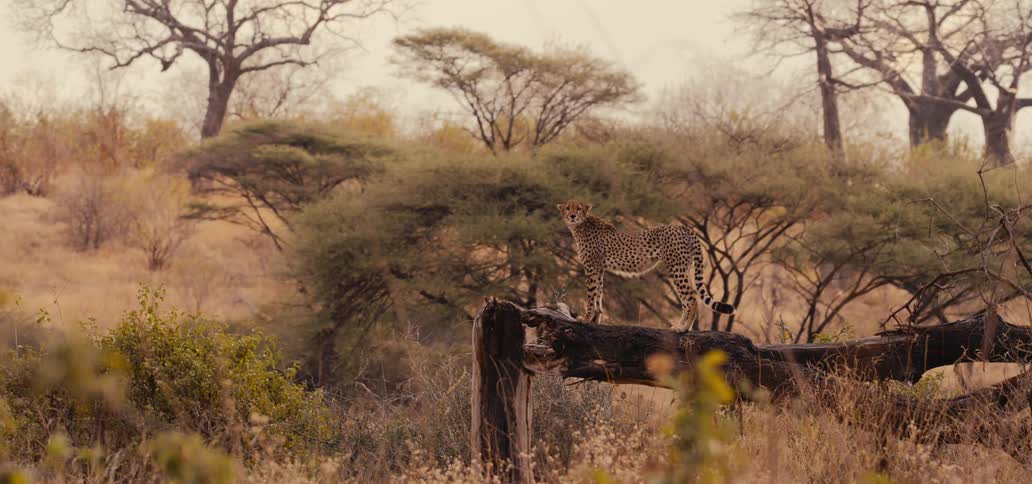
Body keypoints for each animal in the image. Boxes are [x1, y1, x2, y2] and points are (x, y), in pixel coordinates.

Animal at [557, 199, 735, 331]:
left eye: (578, 208)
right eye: (567, 208)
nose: (572, 216)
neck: (580, 225)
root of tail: (684, 227)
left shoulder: (591, 267)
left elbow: (590, 295)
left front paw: (586, 319)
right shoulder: (599, 268)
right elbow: (598, 295)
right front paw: (595, 319)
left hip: (676, 269)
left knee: (691, 297)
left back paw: (684, 328)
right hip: (682, 268)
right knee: (686, 299)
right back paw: (680, 325)